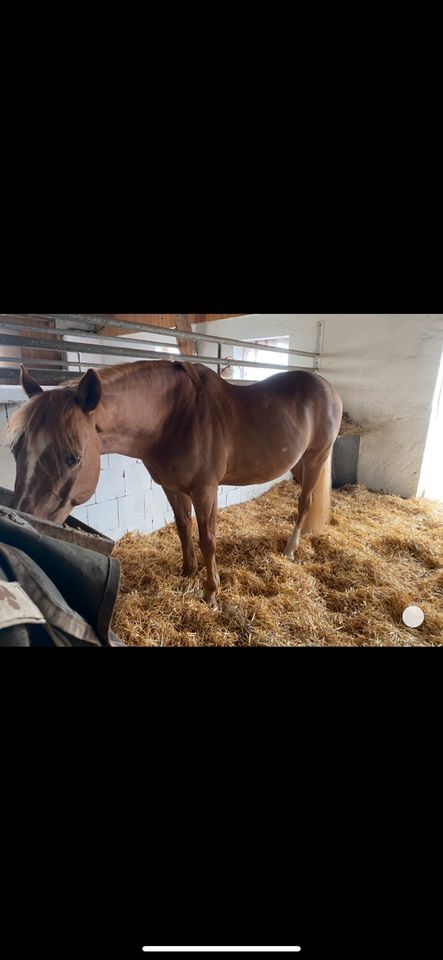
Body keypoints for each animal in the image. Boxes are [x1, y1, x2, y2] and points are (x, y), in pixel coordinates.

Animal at [8, 360, 346, 608]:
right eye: (15, 449)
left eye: (73, 458)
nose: (23, 522)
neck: (175, 418)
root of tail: (327, 387)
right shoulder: (171, 487)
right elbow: (184, 528)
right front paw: (187, 574)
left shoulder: (205, 490)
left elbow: (207, 539)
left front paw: (211, 593)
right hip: (300, 462)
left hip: (316, 458)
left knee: (304, 503)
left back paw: (290, 550)